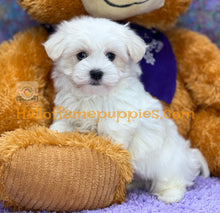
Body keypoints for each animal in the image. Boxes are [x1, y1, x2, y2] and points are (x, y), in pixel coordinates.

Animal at [43, 16, 210, 203]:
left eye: (111, 56)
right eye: (81, 55)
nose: (96, 73)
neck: (94, 95)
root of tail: (188, 157)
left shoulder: (121, 114)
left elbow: (110, 128)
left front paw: (109, 147)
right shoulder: (69, 108)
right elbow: (64, 123)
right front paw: (55, 132)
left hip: (168, 165)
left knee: (174, 181)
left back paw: (169, 195)